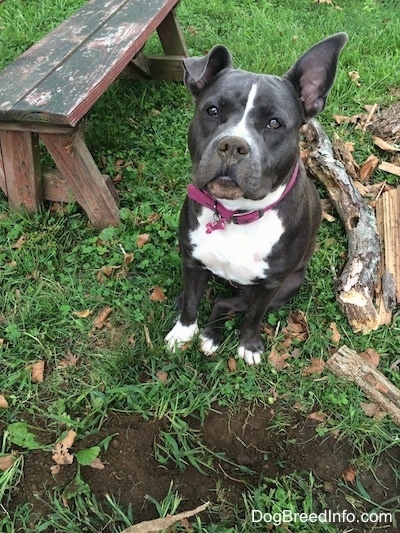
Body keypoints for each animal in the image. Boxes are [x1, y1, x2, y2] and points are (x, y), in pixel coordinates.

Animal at [165, 33, 346, 364]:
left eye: (274, 123)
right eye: (212, 111)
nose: (233, 144)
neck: (235, 214)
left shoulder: (271, 286)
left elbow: (253, 317)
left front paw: (248, 345)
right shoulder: (193, 262)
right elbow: (192, 304)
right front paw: (183, 333)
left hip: (289, 285)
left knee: (226, 303)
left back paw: (212, 336)